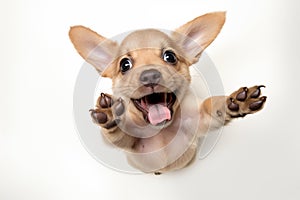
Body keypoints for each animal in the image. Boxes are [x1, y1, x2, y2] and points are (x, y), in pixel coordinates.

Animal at [69, 11, 266, 174]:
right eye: (125, 65)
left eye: (169, 57)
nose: (150, 75)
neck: (160, 130)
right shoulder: (130, 142)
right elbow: (119, 134)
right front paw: (112, 115)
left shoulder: (199, 119)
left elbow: (211, 105)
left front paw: (235, 102)